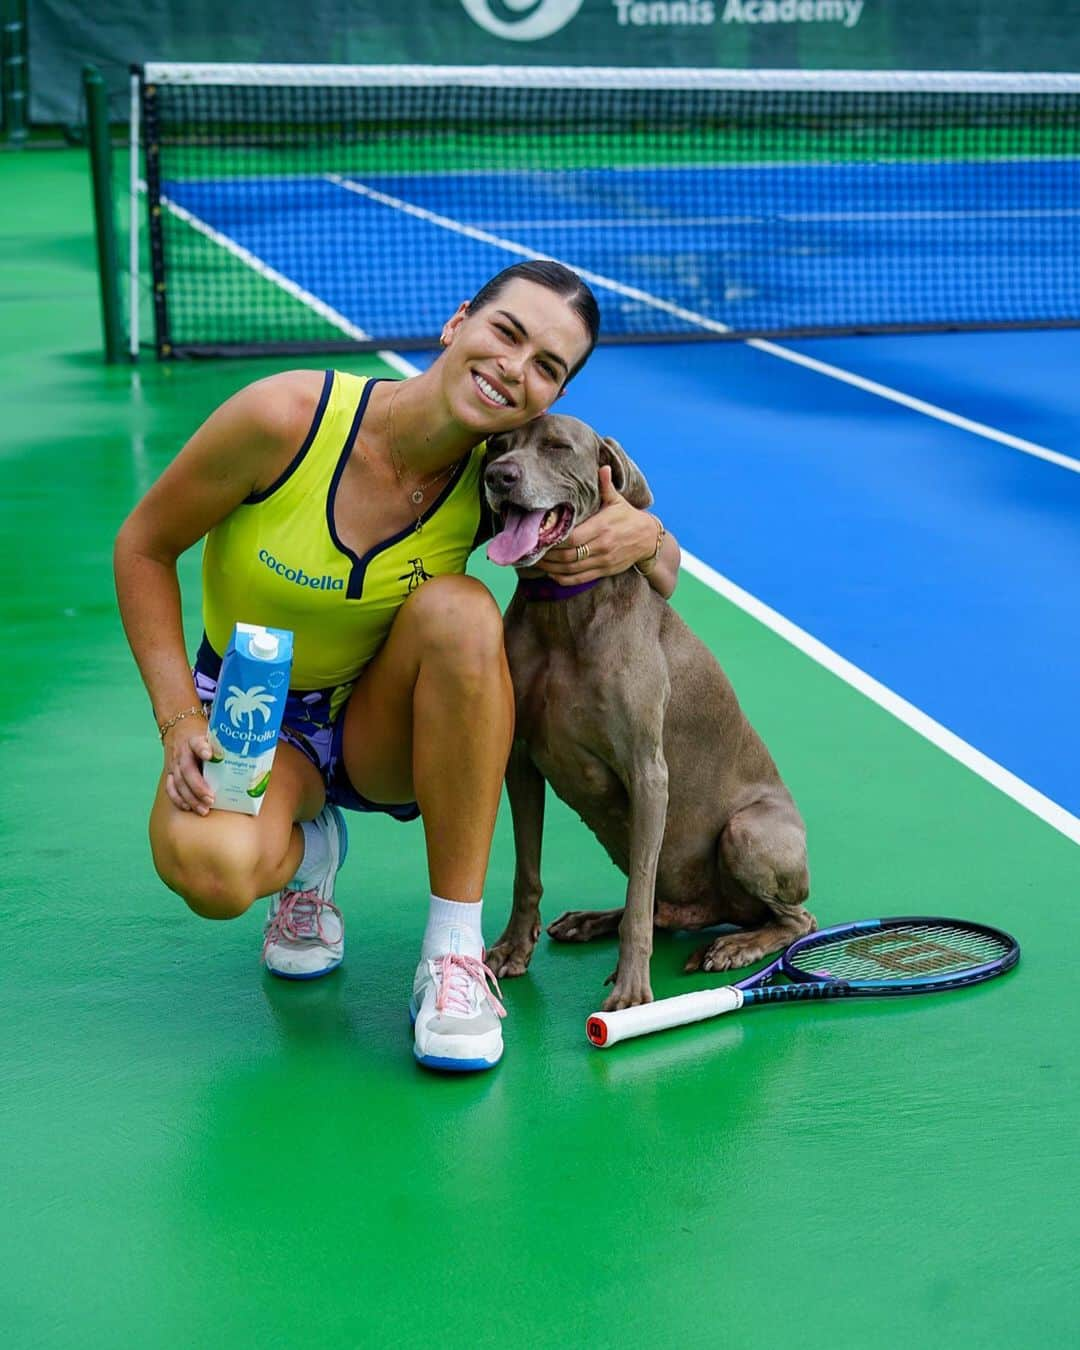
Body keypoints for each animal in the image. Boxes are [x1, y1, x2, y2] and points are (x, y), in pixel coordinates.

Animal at [480, 410, 810, 1015]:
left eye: (557, 447)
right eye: (497, 444)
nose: (499, 476)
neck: (563, 615)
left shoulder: (648, 772)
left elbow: (638, 903)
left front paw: (633, 990)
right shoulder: (520, 762)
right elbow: (526, 870)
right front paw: (514, 948)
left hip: (747, 833)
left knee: (795, 919)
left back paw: (737, 946)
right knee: (659, 904)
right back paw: (593, 919)